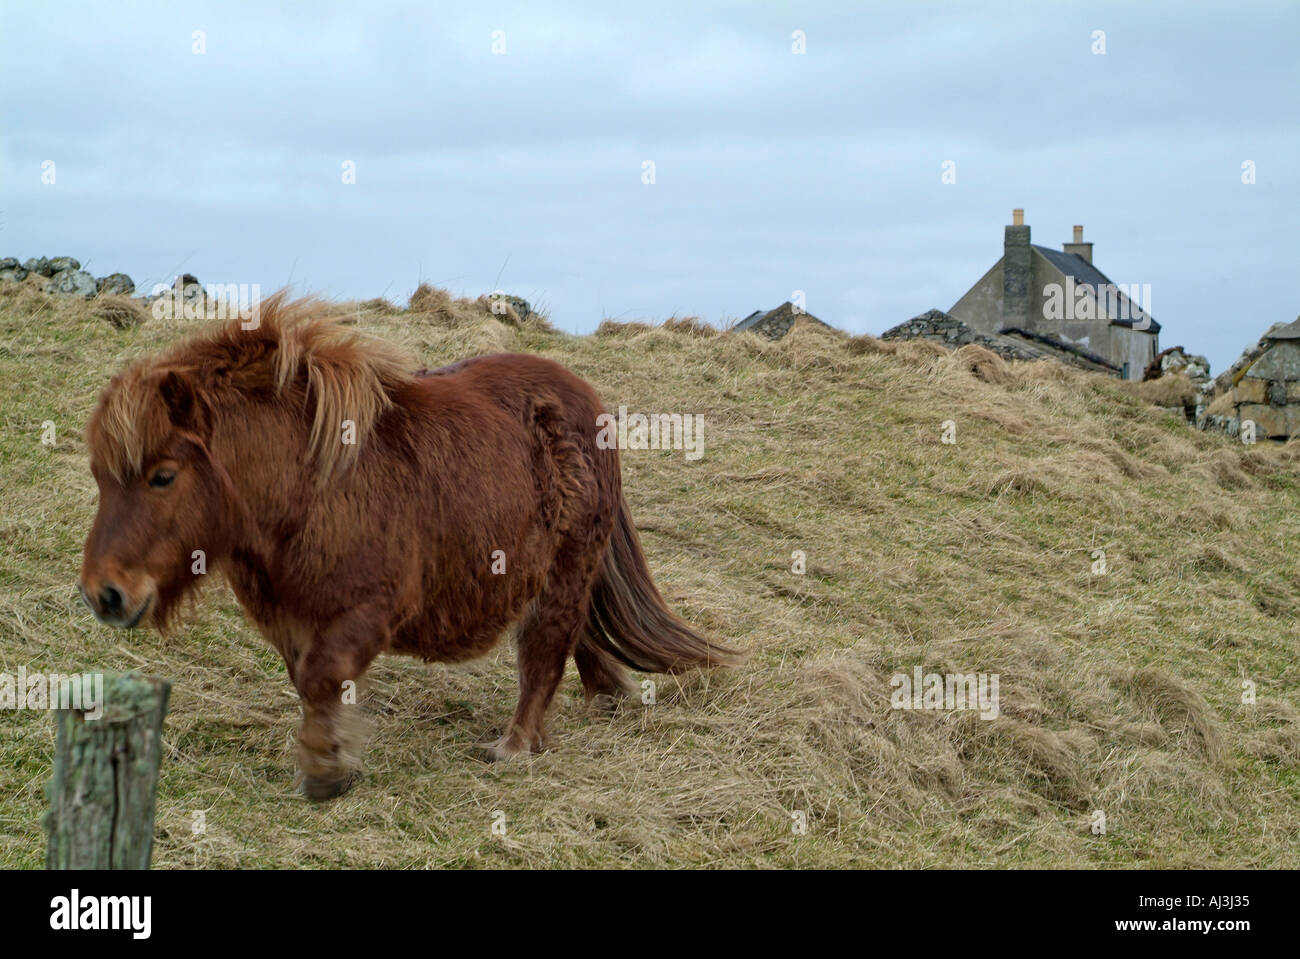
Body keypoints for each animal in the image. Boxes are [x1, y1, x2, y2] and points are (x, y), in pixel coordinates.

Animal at [78, 289, 733, 790]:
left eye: (163, 476)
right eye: (100, 477)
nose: (102, 594)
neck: (308, 486)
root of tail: (584, 398)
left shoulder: (374, 608)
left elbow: (321, 677)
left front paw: (326, 771)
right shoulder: (293, 619)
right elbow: (310, 681)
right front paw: (332, 755)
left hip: (562, 574)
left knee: (545, 652)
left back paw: (516, 745)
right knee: (576, 641)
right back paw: (598, 705)